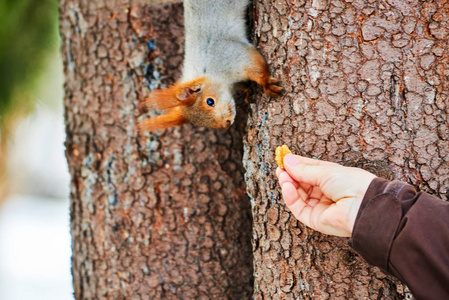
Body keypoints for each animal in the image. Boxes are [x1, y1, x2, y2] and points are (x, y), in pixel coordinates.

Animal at [138, 0, 282, 132]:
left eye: (210, 102)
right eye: (197, 123)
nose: (227, 123)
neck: (208, 71)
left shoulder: (231, 55)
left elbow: (255, 66)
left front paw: (267, 84)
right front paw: (246, 90)